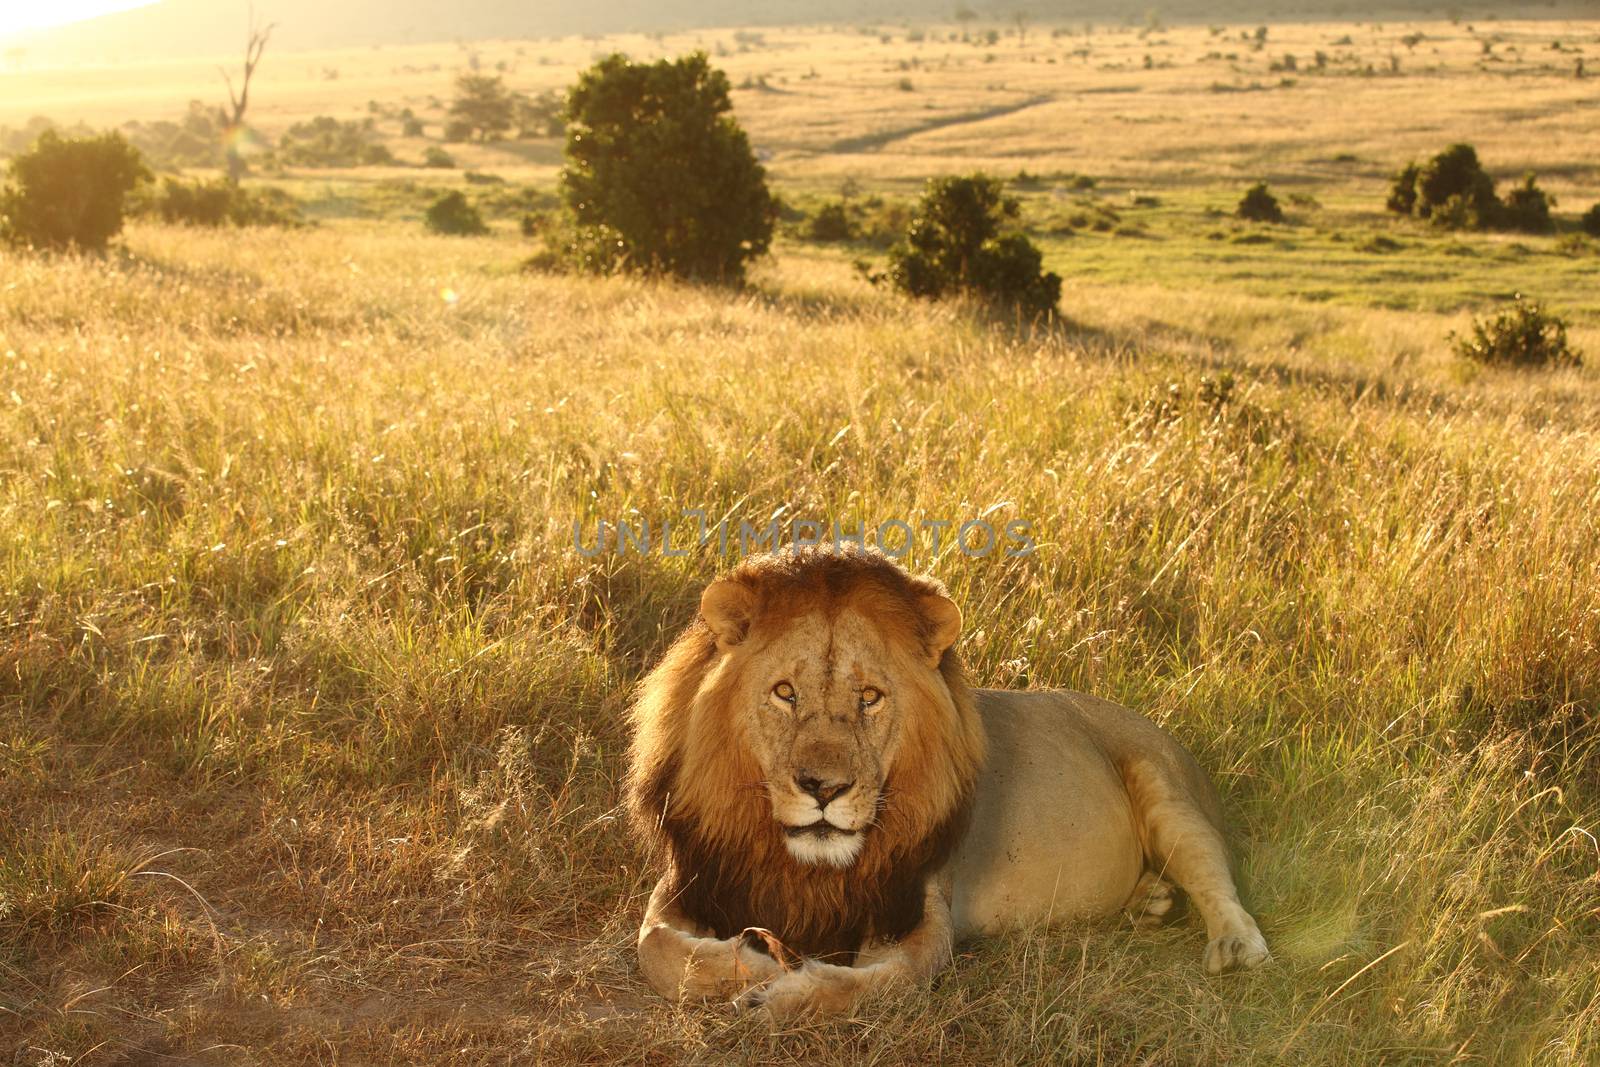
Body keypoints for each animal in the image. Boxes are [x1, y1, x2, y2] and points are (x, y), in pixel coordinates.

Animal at [624, 550, 1260, 1017]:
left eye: (870, 698)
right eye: (785, 693)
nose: (823, 789)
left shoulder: (923, 909)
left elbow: (883, 982)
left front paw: (777, 989)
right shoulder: (692, 876)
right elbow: (653, 947)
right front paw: (750, 960)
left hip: (1165, 787)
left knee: (1214, 877)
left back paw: (1235, 945)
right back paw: (1149, 901)